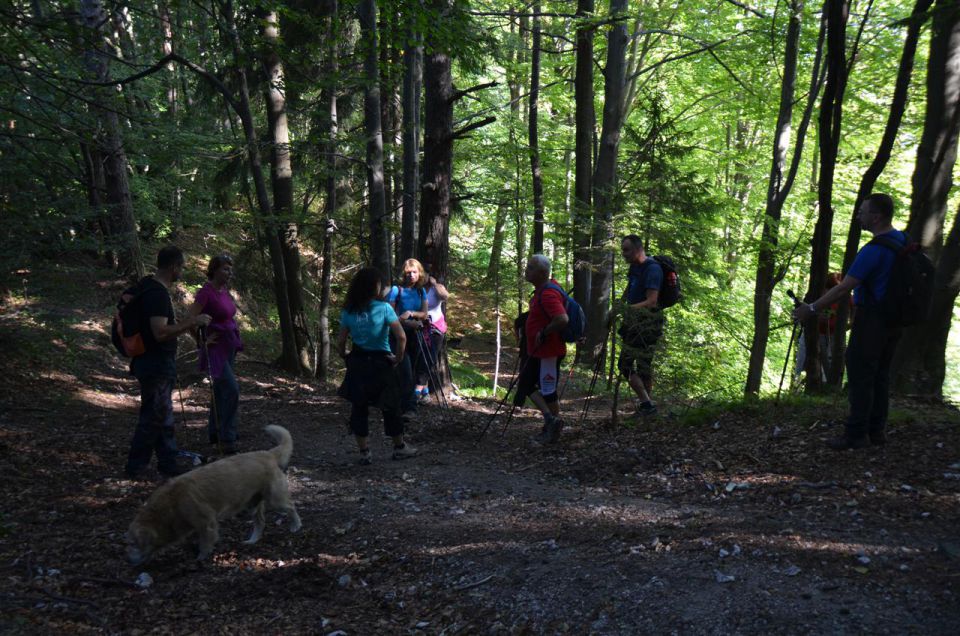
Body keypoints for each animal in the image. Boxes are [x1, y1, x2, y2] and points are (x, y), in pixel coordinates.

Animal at [125, 424, 300, 564]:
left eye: (134, 544)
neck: (171, 504)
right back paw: (251, 541)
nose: (128, 561)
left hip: (275, 499)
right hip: (252, 504)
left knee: (291, 507)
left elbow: (205, 543)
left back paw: (296, 526)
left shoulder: (206, 522)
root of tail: (267, 453)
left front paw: (201, 558)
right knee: (260, 523)